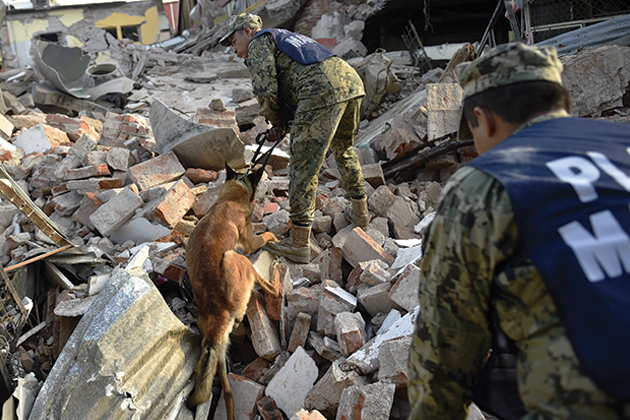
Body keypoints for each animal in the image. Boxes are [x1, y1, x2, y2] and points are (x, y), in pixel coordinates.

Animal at [185, 163, 278, 416]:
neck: (231, 196)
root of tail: (219, 311)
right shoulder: (250, 242)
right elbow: (264, 235)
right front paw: (274, 237)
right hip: (238, 258)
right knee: (272, 290)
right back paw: (276, 275)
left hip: (217, 350)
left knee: (226, 392)